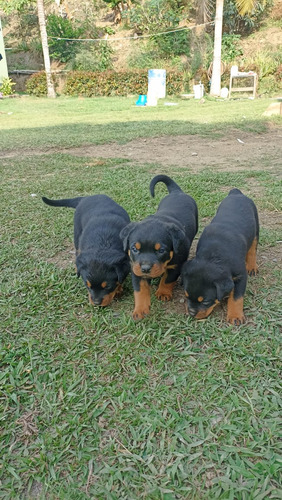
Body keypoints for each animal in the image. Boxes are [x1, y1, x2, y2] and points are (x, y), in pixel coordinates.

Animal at [120, 176, 197, 320]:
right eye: (134, 249)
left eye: (161, 251)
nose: (145, 269)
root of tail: (177, 192)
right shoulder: (136, 268)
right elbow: (140, 290)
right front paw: (140, 310)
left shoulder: (176, 266)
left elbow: (167, 279)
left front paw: (163, 292)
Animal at [182, 189, 258, 326]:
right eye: (186, 296)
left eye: (206, 301)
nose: (191, 313)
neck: (213, 256)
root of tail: (236, 193)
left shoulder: (241, 275)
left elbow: (236, 297)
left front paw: (235, 316)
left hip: (256, 225)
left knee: (253, 248)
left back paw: (252, 266)